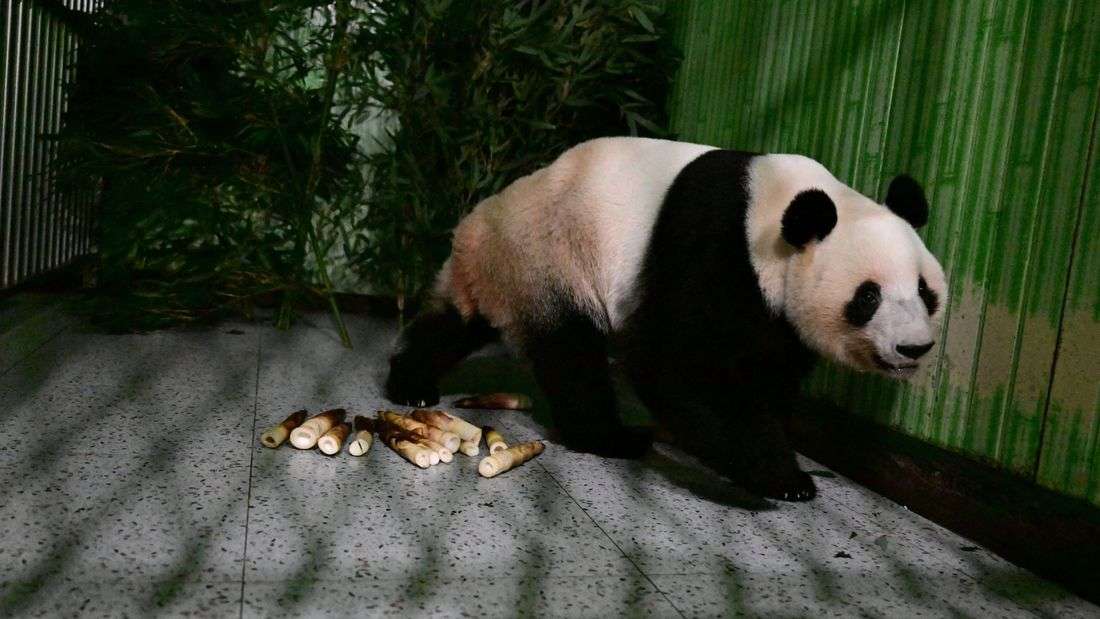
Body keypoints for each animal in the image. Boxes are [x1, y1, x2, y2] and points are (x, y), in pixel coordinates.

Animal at [385, 137, 948, 501]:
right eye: (868, 296)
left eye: (926, 291)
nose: (914, 348)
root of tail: (478, 223)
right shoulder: (714, 243)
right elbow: (674, 359)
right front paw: (780, 475)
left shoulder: (776, 315)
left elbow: (768, 368)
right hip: (550, 257)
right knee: (572, 354)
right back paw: (612, 436)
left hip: (505, 272)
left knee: (454, 324)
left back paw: (411, 383)